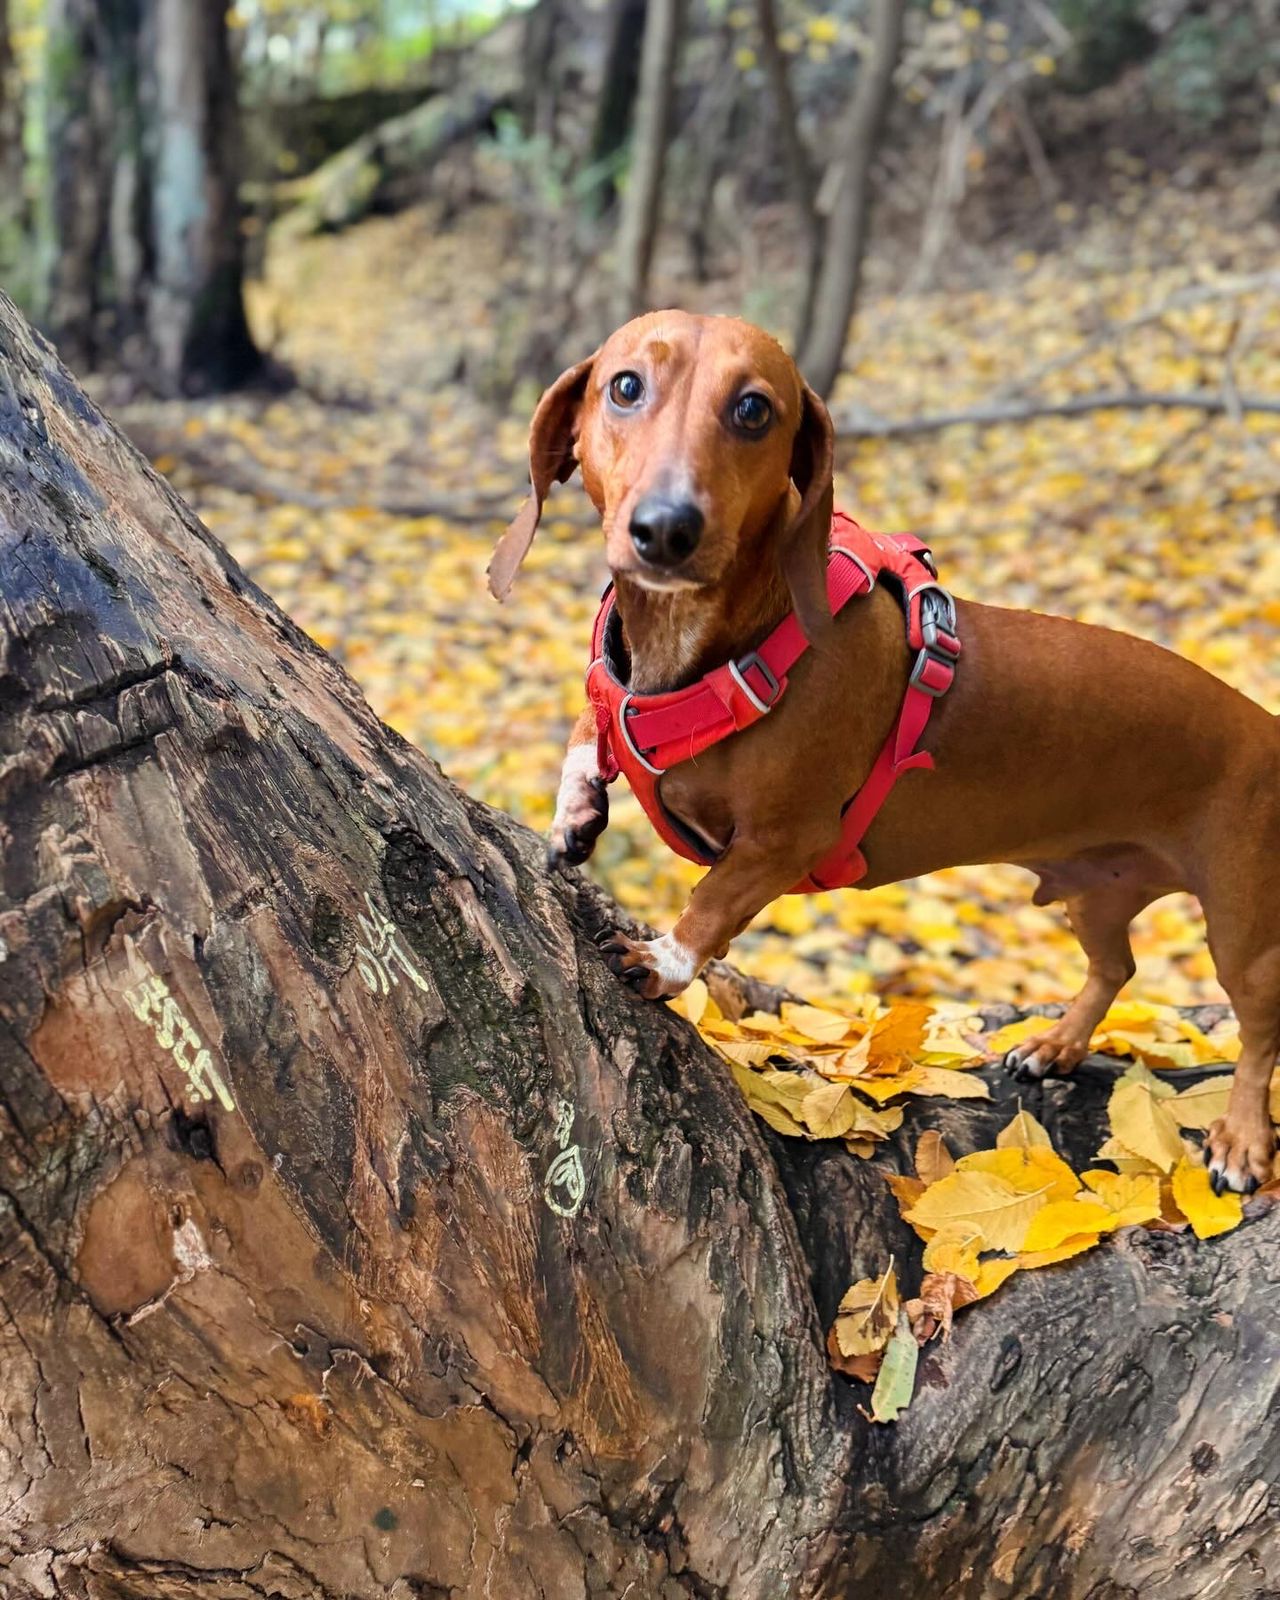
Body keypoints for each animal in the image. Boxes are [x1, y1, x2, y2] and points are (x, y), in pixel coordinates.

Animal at [489, 308, 1280, 1190]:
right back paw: (1059, 1044)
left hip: (1242, 925)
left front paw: (664, 960)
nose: (666, 528)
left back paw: (1242, 1139)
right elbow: (590, 725)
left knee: (1259, 1031)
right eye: (625, 386)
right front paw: (577, 806)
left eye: (754, 409)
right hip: (1098, 892)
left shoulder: (783, 843)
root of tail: (1266, 725)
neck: (716, 649)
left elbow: (712, 904)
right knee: (1117, 969)